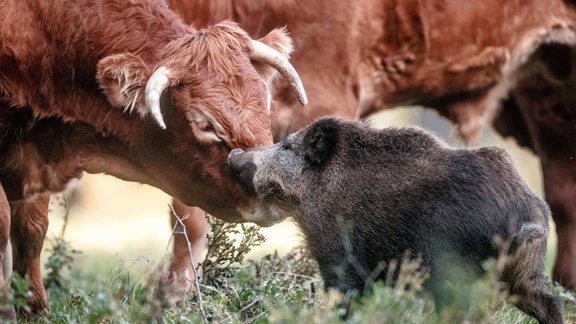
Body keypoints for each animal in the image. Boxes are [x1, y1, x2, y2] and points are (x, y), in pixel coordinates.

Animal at [0, 0, 308, 316]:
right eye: (205, 124)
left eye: (264, 100)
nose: (275, 184)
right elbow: (4, 223)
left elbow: (31, 232)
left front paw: (33, 309)